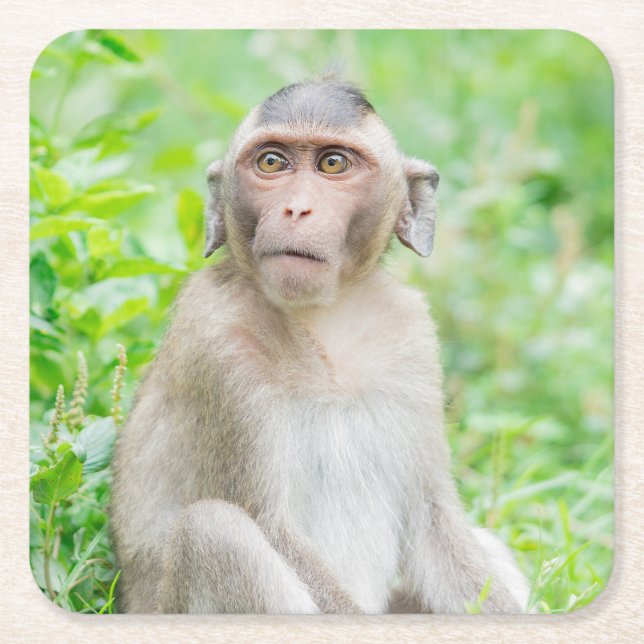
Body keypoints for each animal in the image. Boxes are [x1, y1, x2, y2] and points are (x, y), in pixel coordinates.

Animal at [110, 78, 530, 614]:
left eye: (333, 164)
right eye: (272, 162)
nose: (297, 208)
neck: (324, 320)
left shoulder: (413, 335)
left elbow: (435, 521)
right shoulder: (216, 345)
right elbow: (271, 528)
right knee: (215, 532)